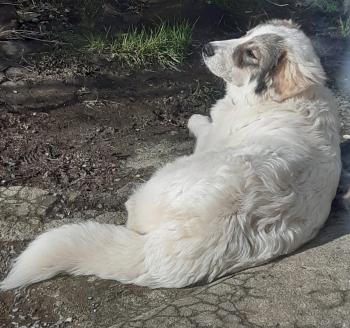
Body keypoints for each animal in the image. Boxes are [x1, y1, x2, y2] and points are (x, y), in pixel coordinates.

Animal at [0, 19, 342, 290]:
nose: (206, 47)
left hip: (168, 174)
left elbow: (204, 122)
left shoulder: (212, 137)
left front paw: (196, 118)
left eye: (250, 54)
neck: (284, 99)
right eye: (245, 35)